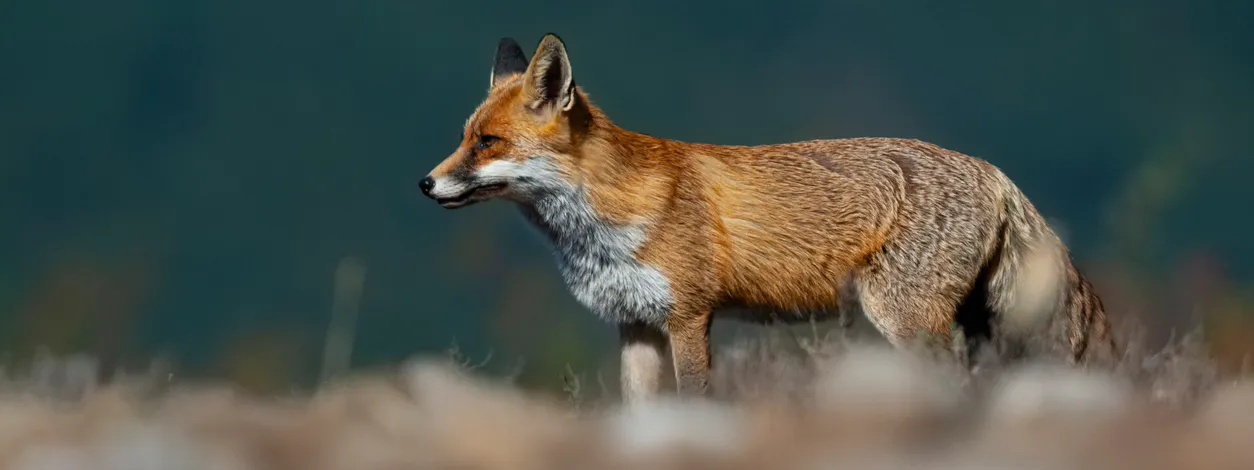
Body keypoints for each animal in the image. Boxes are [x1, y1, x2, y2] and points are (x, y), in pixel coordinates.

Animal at [419, 33, 1121, 403]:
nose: (424, 184)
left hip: (903, 319)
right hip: (973, 325)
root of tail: (993, 170)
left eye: (488, 144)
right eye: (464, 137)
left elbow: (695, 400)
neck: (604, 226)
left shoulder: (689, 317)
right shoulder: (635, 323)